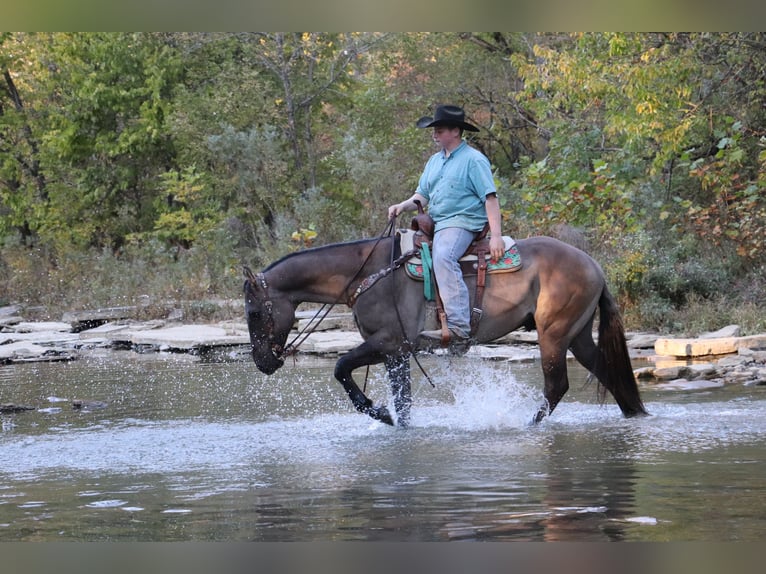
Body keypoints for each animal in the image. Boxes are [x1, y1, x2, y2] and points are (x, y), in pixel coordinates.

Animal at [244, 234, 648, 428]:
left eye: (253, 312)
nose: (263, 362)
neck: (366, 275)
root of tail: (593, 265)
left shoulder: (387, 342)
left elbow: (341, 368)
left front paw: (379, 413)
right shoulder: (396, 354)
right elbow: (404, 403)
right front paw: (395, 422)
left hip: (554, 334)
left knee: (556, 386)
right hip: (577, 336)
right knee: (607, 372)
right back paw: (635, 414)